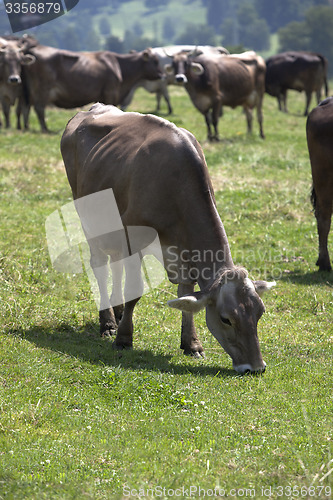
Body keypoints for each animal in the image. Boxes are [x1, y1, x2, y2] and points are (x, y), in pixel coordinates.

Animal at [23, 45, 161, 131]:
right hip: (43, 89)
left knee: (27, 106)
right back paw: (45, 129)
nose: (162, 74)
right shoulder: (111, 92)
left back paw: (27, 127)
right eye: (155, 61)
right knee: (39, 108)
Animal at [61, 102, 274, 376]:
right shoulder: (133, 237)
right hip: (89, 217)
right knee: (100, 266)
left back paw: (117, 313)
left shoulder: (184, 253)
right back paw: (107, 322)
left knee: (115, 265)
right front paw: (124, 339)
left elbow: (186, 295)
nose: (256, 367)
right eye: (226, 318)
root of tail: (91, 108)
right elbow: (134, 291)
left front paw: (191, 344)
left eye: (260, 312)